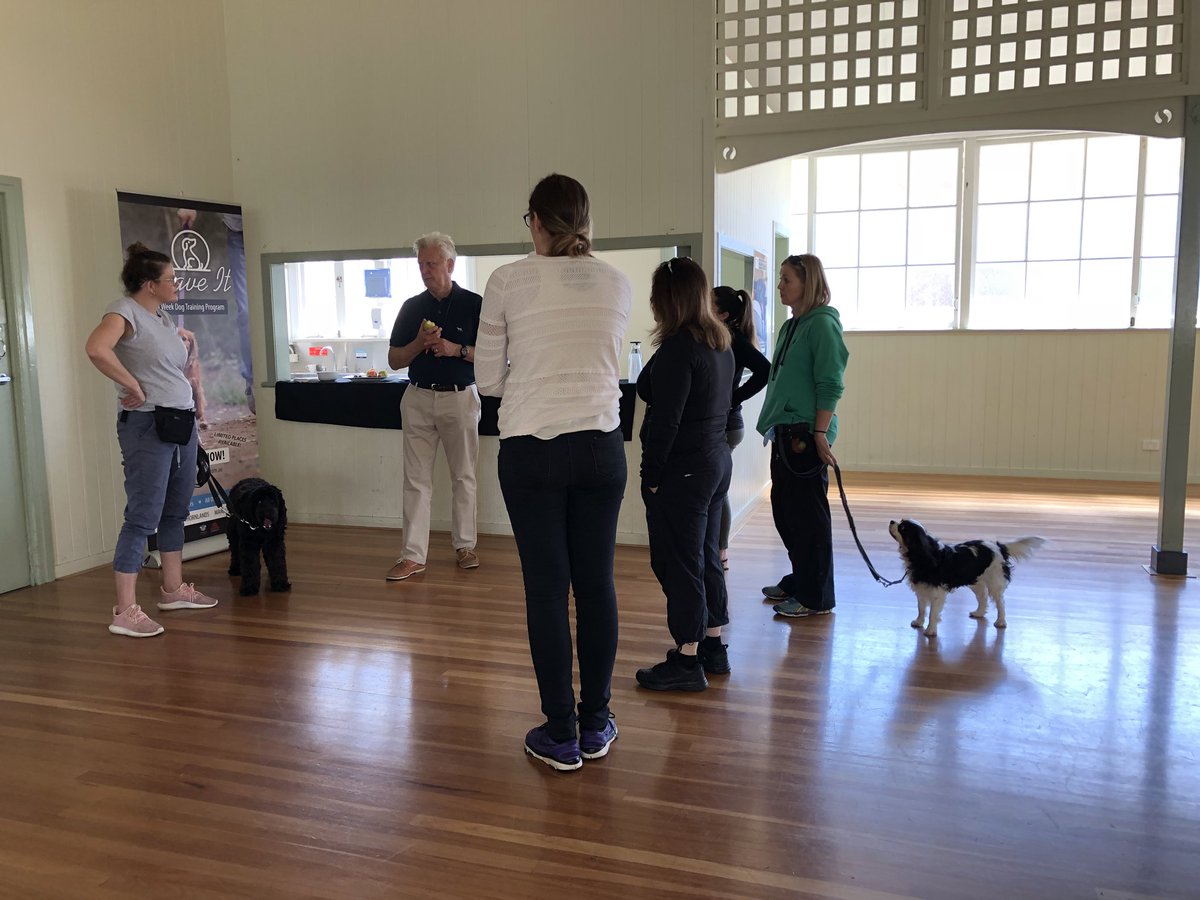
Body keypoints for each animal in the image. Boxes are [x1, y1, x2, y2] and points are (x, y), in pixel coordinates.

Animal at [888, 518, 1046, 638]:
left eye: (902, 527)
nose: (892, 521)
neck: (923, 555)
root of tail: (999, 547)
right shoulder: (921, 589)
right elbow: (921, 608)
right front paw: (919, 622)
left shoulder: (937, 593)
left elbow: (933, 613)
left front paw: (930, 631)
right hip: (976, 582)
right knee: (983, 598)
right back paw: (979, 613)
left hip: (994, 582)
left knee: (1000, 602)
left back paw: (1001, 621)